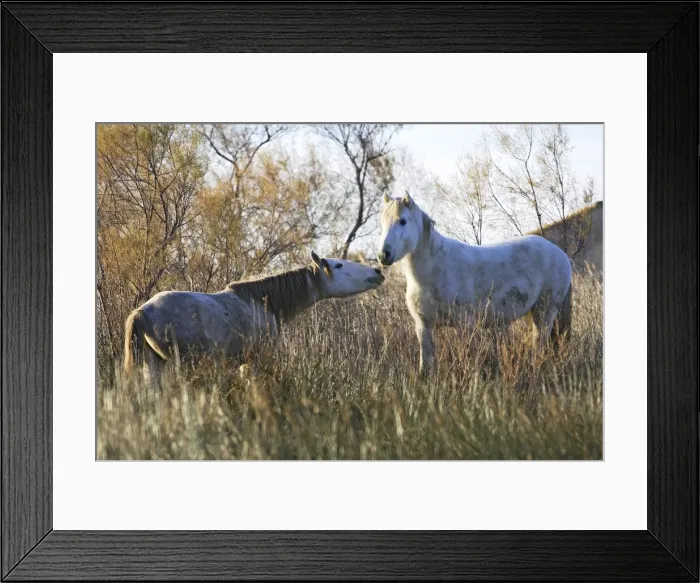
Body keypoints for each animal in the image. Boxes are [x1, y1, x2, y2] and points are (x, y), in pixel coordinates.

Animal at [123, 251, 385, 386]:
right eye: (338, 265)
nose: (378, 272)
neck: (262, 302)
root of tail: (143, 311)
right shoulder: (257, 358)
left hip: (153, 365)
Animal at [377, 191, 573, 376]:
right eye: (383, 222)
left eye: (402, 221)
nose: (383, 255)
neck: (435, 269)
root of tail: (561, 255)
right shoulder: (423, 326)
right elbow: (426, 365)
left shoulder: (464, 325)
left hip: (545, 312)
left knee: (539, 344)